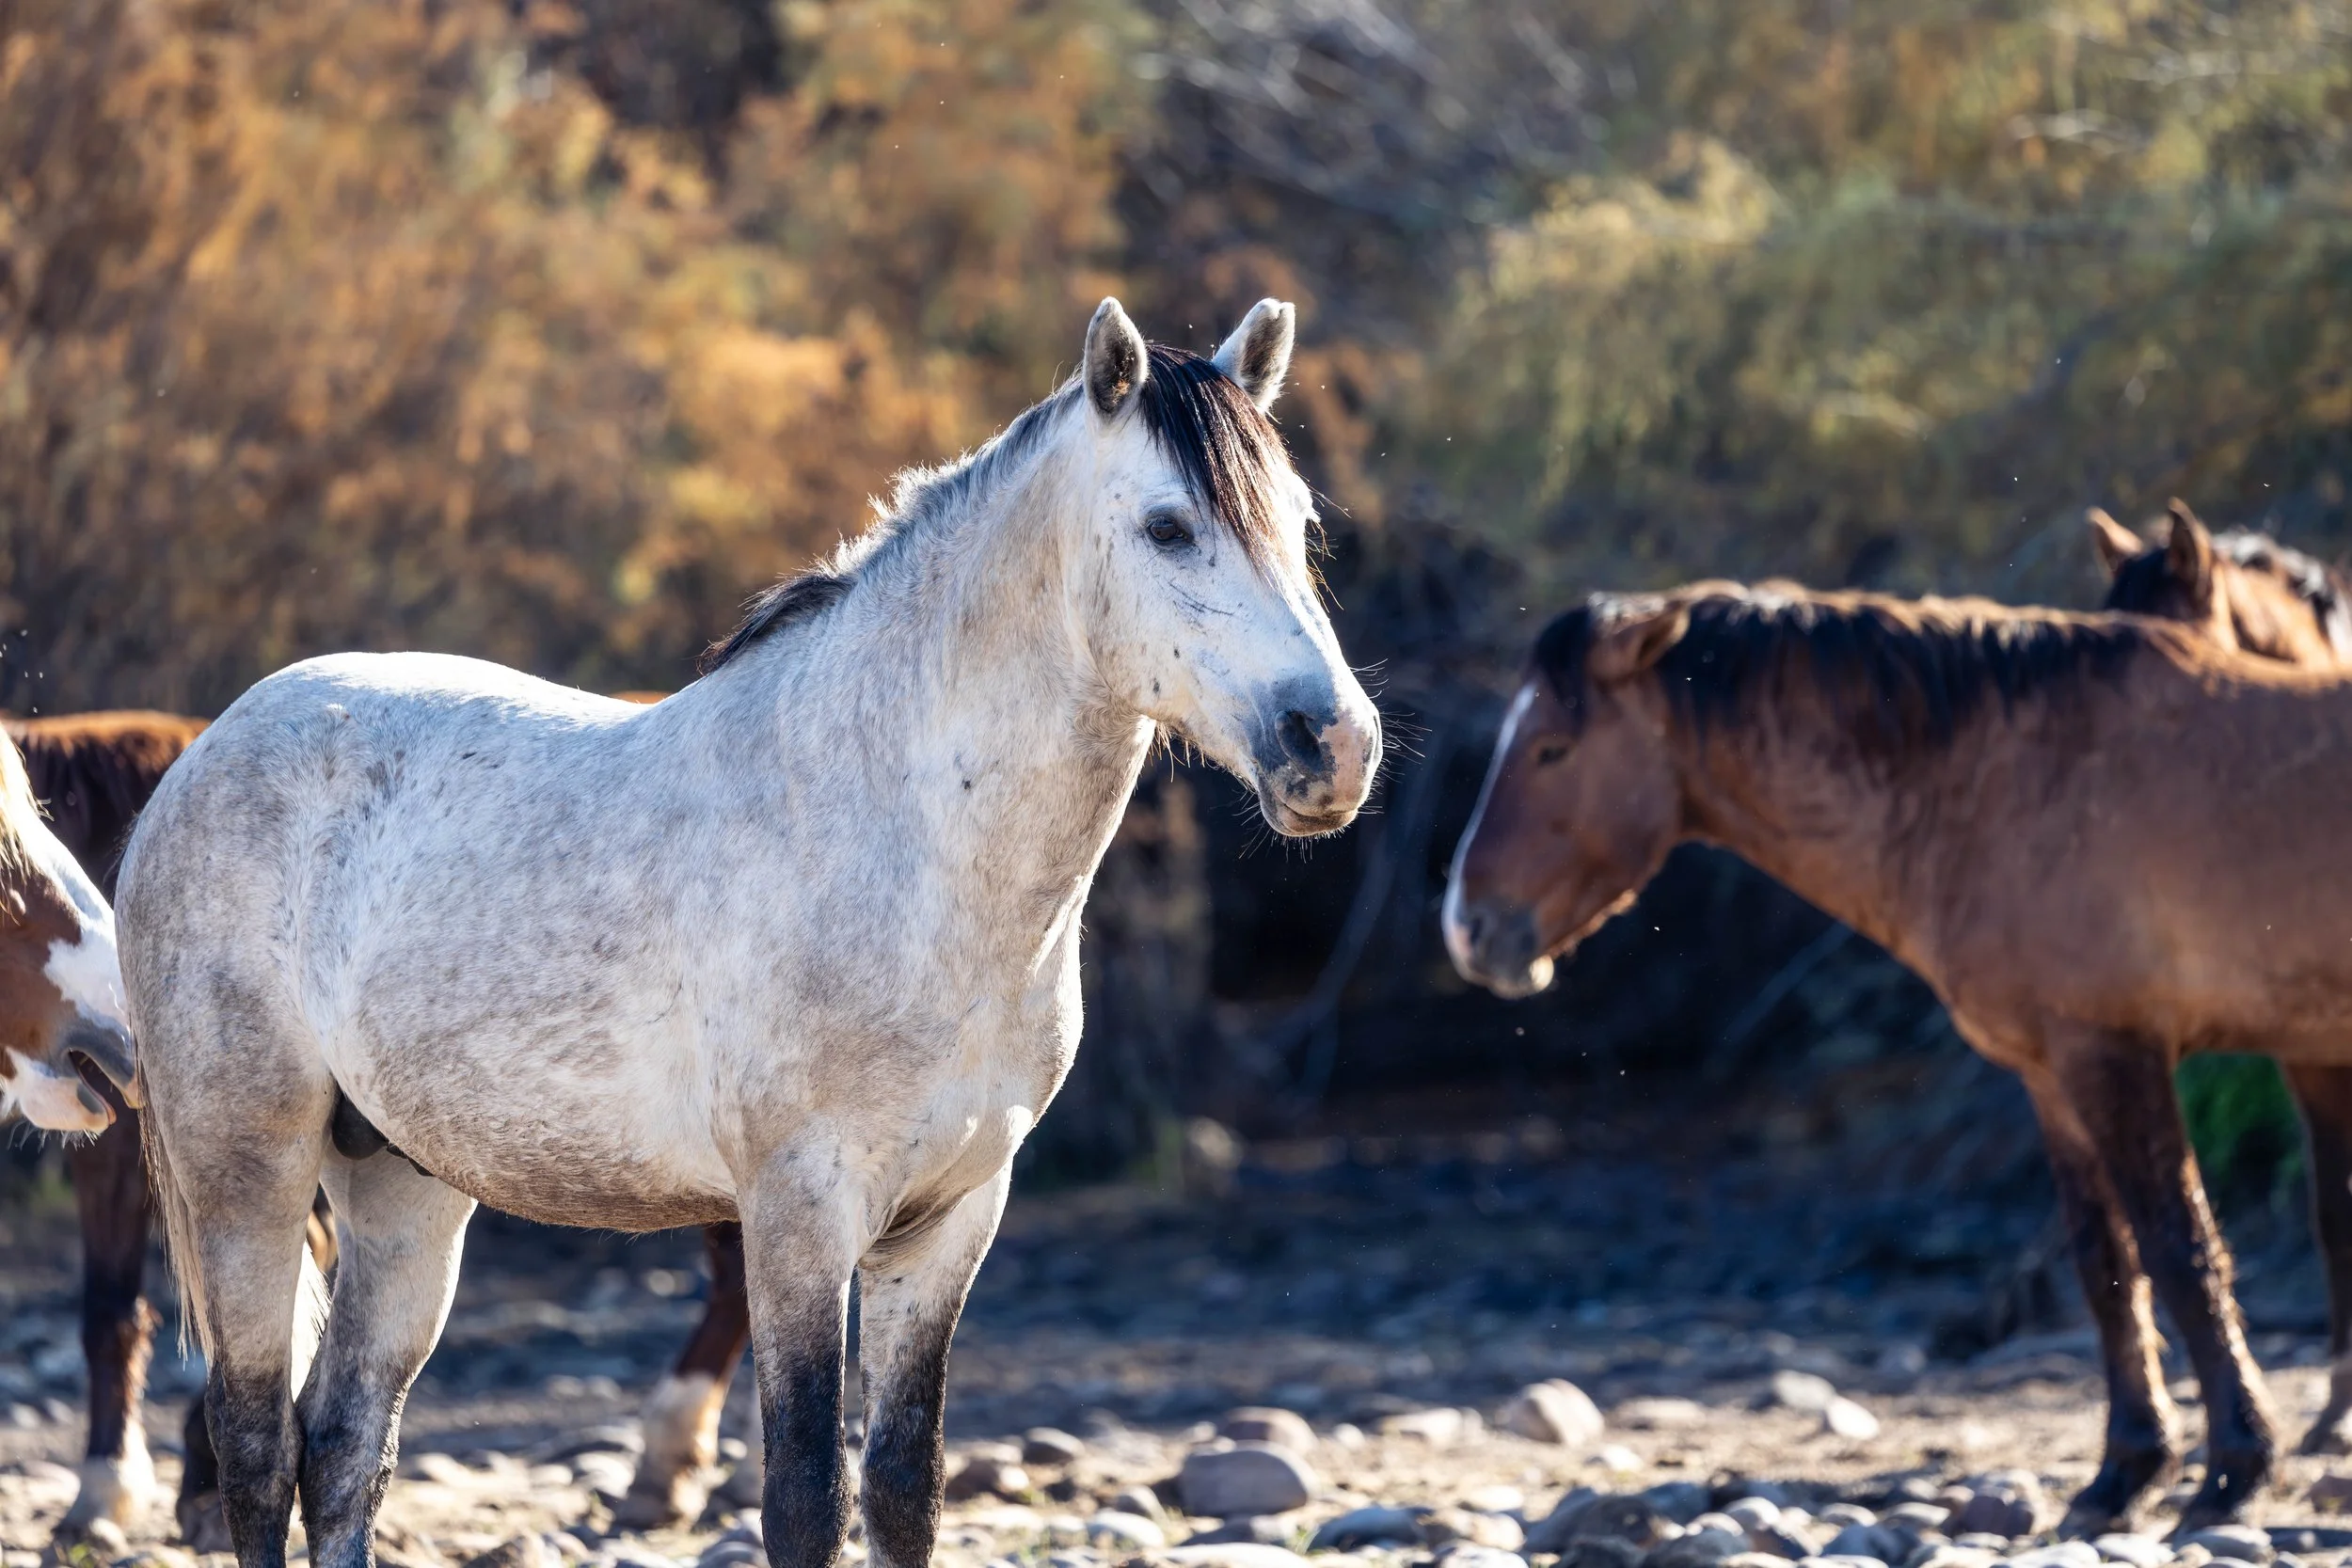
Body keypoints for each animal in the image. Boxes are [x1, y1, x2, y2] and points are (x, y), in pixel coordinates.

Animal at [118, 297, 1379, 1568]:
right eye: (1168, 526)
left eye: (1302, 524)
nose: (1331, 744)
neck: (906, 840)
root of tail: (202, 755)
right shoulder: (798, 1215)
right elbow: (806, 1496)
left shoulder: (952, 1220)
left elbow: (903, 1489)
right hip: (249, 1167)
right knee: (259, 1449)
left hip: (402, 1182)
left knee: (342, 1447)